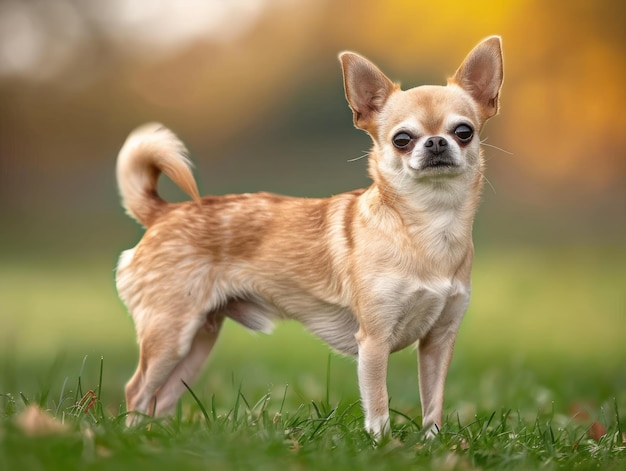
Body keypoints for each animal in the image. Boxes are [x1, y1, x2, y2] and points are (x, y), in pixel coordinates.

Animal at [116, 37, 502, 438]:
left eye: (464, 132)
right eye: (402, 140)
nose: (437, 143)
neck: (430, 224)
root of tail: (163, 213)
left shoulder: (438, 342)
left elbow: (433, 403)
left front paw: (431, 444)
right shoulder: (374, 342)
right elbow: (378, 405)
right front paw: (383, 444)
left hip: (196, 343)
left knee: (160, 398)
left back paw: (154, 439)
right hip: (170, 336)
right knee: (136, 390)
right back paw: (130, 438)